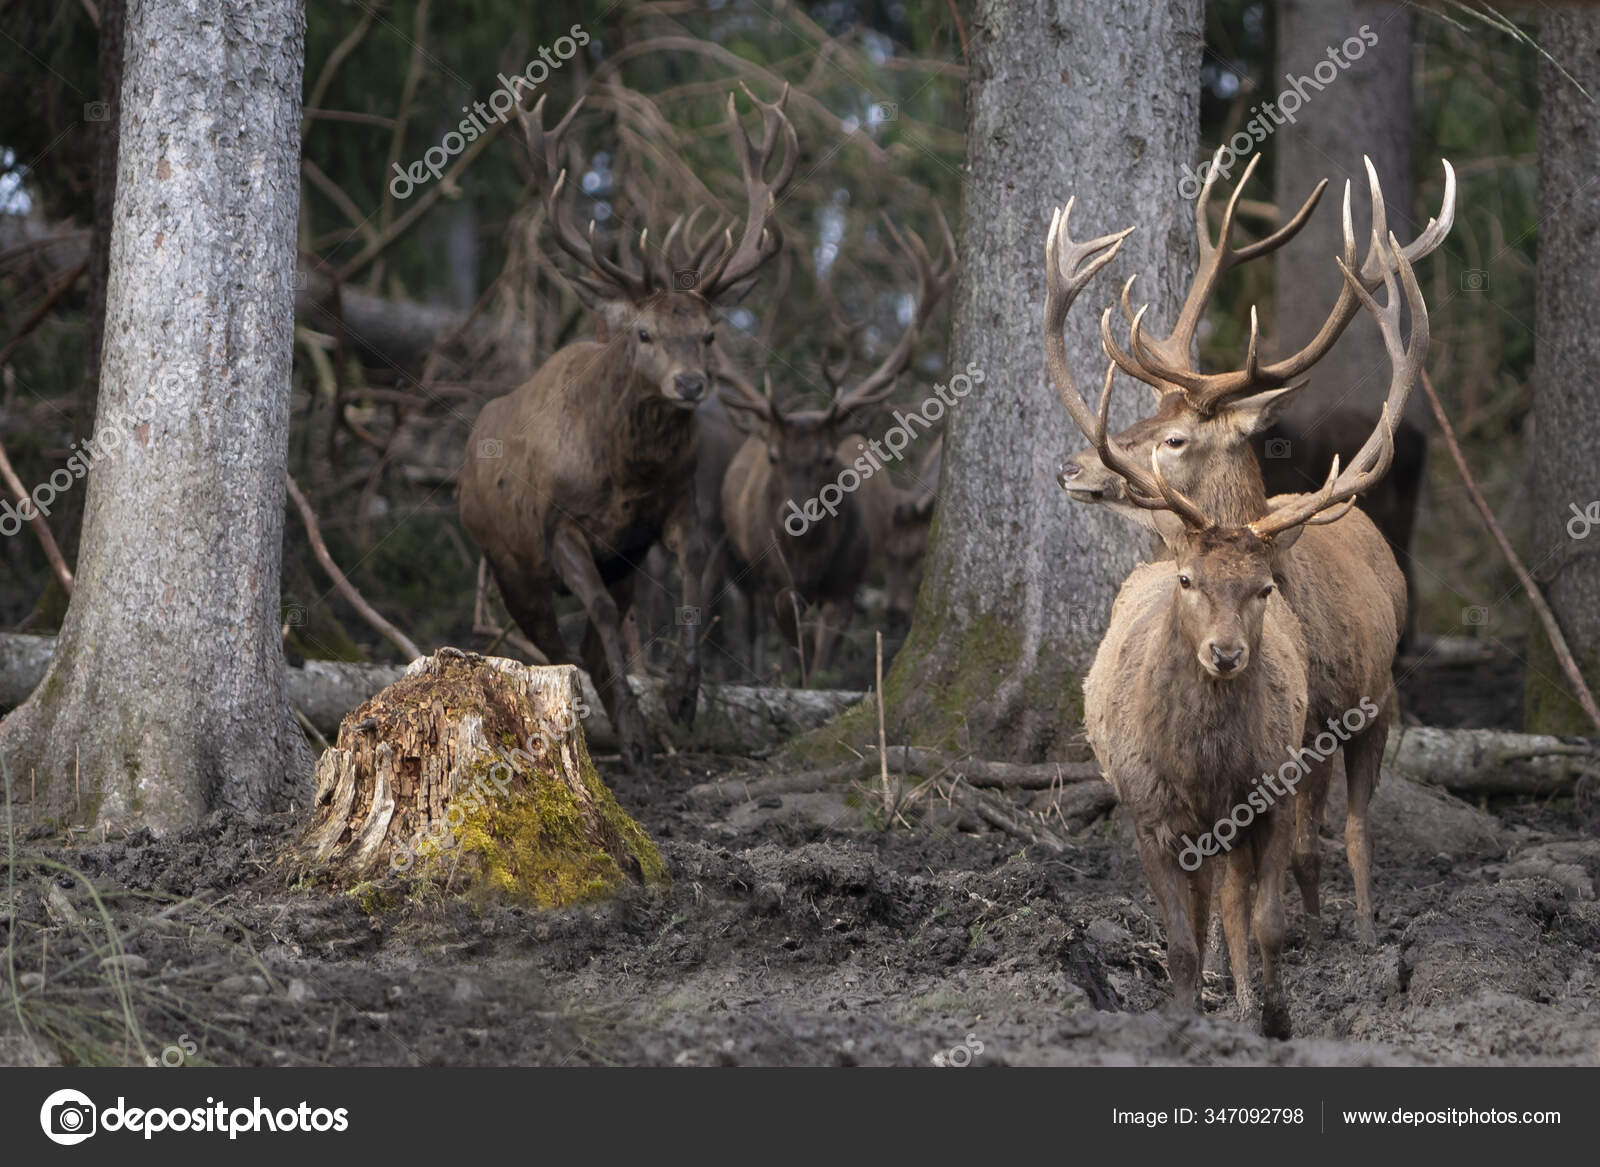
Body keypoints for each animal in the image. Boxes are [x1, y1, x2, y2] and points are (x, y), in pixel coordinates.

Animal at [457, 86, 793, 768]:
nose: (690, 384)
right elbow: (604, 621)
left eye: (709, 333)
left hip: (620, 563)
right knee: (555, 648)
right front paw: (638, 723)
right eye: (644, 332)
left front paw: (685, 694)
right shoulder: (558, 526)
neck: (626, 472)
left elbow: (693, 581)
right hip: (507, 561)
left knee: (584, 643)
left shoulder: (671, 511)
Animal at [723, 214, 947, 678]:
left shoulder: (846, 588)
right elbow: (796, 664)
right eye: (774, 457)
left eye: (828, 458)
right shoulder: (777, 586)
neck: (807, 564)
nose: (797, 516)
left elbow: (821, 666)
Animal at [1049, 148, 1452, 947]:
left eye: (1174, 438)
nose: (1071, 469)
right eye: (1144, 416)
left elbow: (1345, 832)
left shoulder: (1356, 705)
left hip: (1375, 692)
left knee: (1344, 823)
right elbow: (1287, 848)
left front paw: (1361, 931)